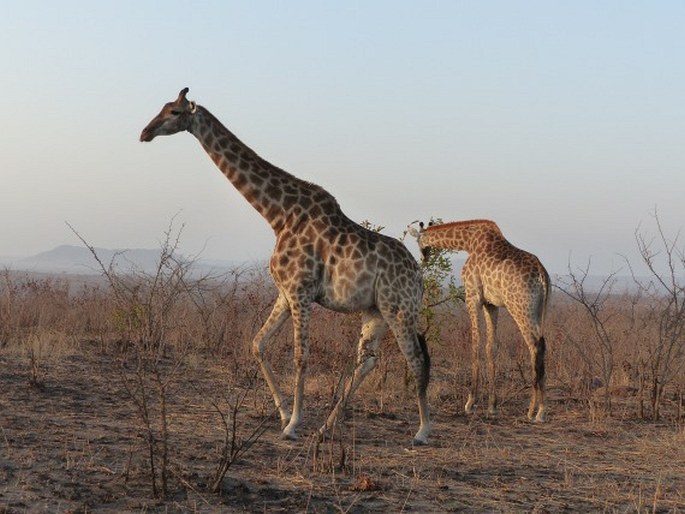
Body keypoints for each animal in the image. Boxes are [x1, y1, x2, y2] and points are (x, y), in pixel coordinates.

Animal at [138, 90, 432, 442]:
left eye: (174, 111)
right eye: (163, 107)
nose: (144, 133)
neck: (278, 214)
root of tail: (418, 277)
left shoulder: (301, 292)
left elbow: (300, 357)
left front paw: (293, 424)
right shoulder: (285, 292)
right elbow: (258, 343)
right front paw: (282, 414)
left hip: (398, 308)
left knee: (416, 359)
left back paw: (423, 431)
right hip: (375, 311)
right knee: (367, 361)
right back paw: (326, 427)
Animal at [408, 217, 548, 420]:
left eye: (418, 241)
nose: (423, 258)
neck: (468, 243)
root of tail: (542, 275)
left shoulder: (472, 295)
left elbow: (475, 342)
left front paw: (470, 402)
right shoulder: (491, 303)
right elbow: (491, 347)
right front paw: (492, 405)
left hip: (520, 307)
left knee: (534, 345)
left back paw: (535, 410)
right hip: (538, 310)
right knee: (542, 345)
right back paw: (540, 408)